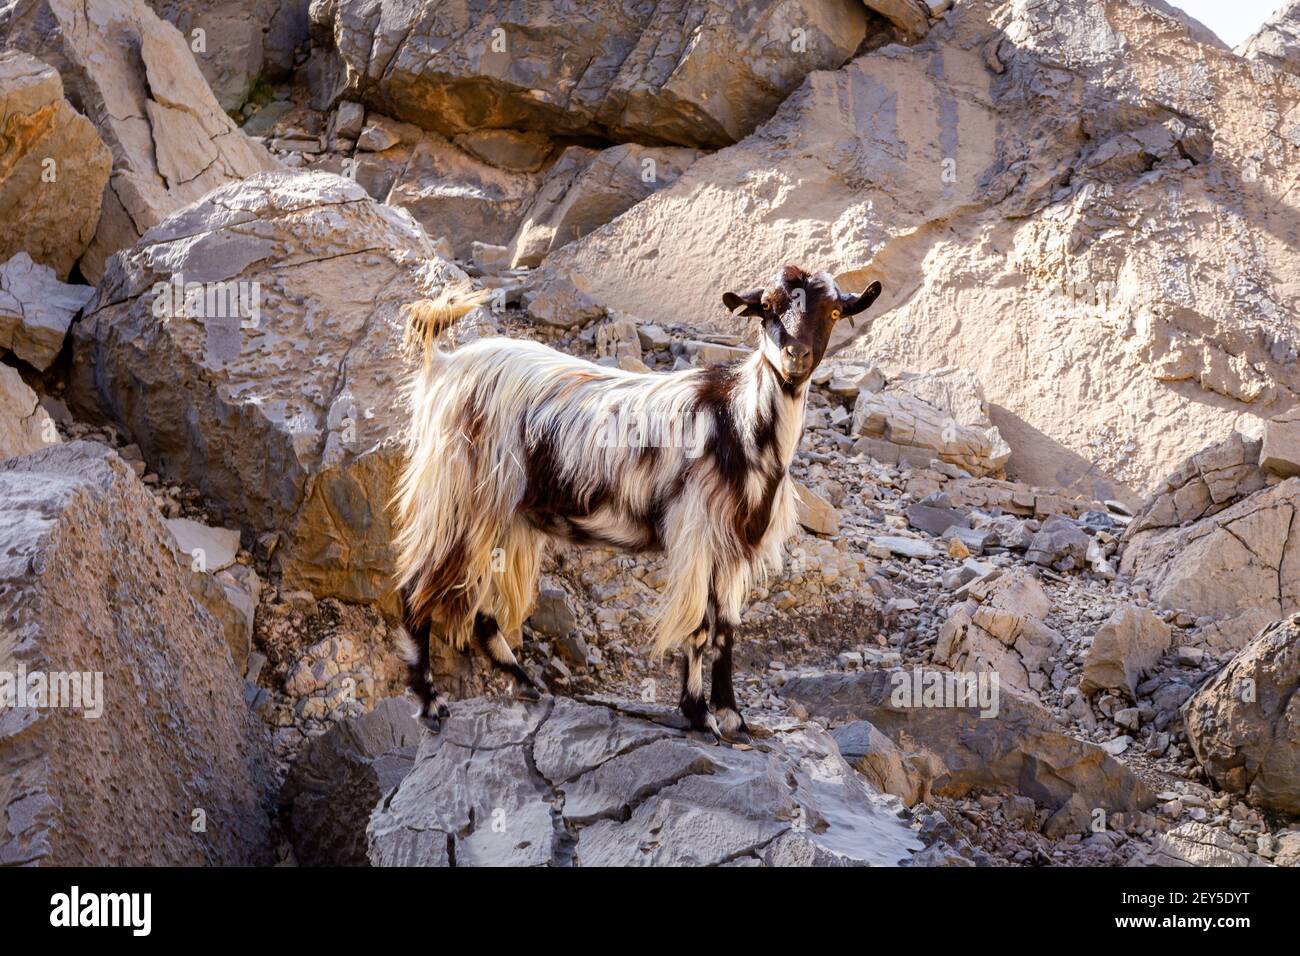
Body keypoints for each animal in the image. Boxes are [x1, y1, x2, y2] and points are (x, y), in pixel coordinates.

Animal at [395, 265, 883, 738]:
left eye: (834, 312)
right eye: (767, 308)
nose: (795, 357)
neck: (737, 420)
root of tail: (444, 366)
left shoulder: (733, 547)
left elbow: (726, 629)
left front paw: (733, 717)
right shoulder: (696, 533)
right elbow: (699, 629)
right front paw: (699, 716)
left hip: (500, 517)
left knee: (479, 609)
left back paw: (526, 683)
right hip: (457, 497)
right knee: (415, 586)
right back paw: (430, 704)